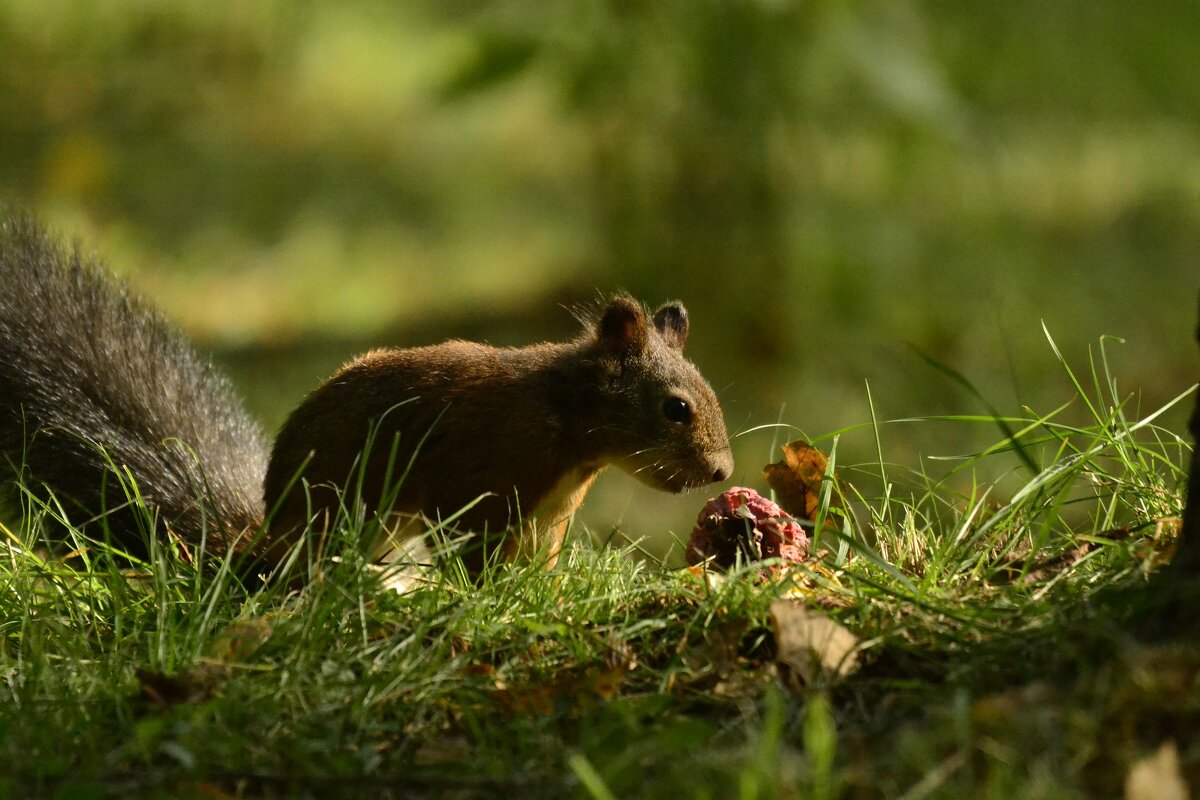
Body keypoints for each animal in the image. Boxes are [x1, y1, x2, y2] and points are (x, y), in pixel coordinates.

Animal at [0, 215, 729, 578]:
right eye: (676, 408)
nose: (721, 472)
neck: (569, 432)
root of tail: (265, 543)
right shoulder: (478, 481)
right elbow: (472, 552)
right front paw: (488, 596)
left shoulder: (548, 518)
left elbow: (539, 565)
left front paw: (539, 595)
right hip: (345, 514)